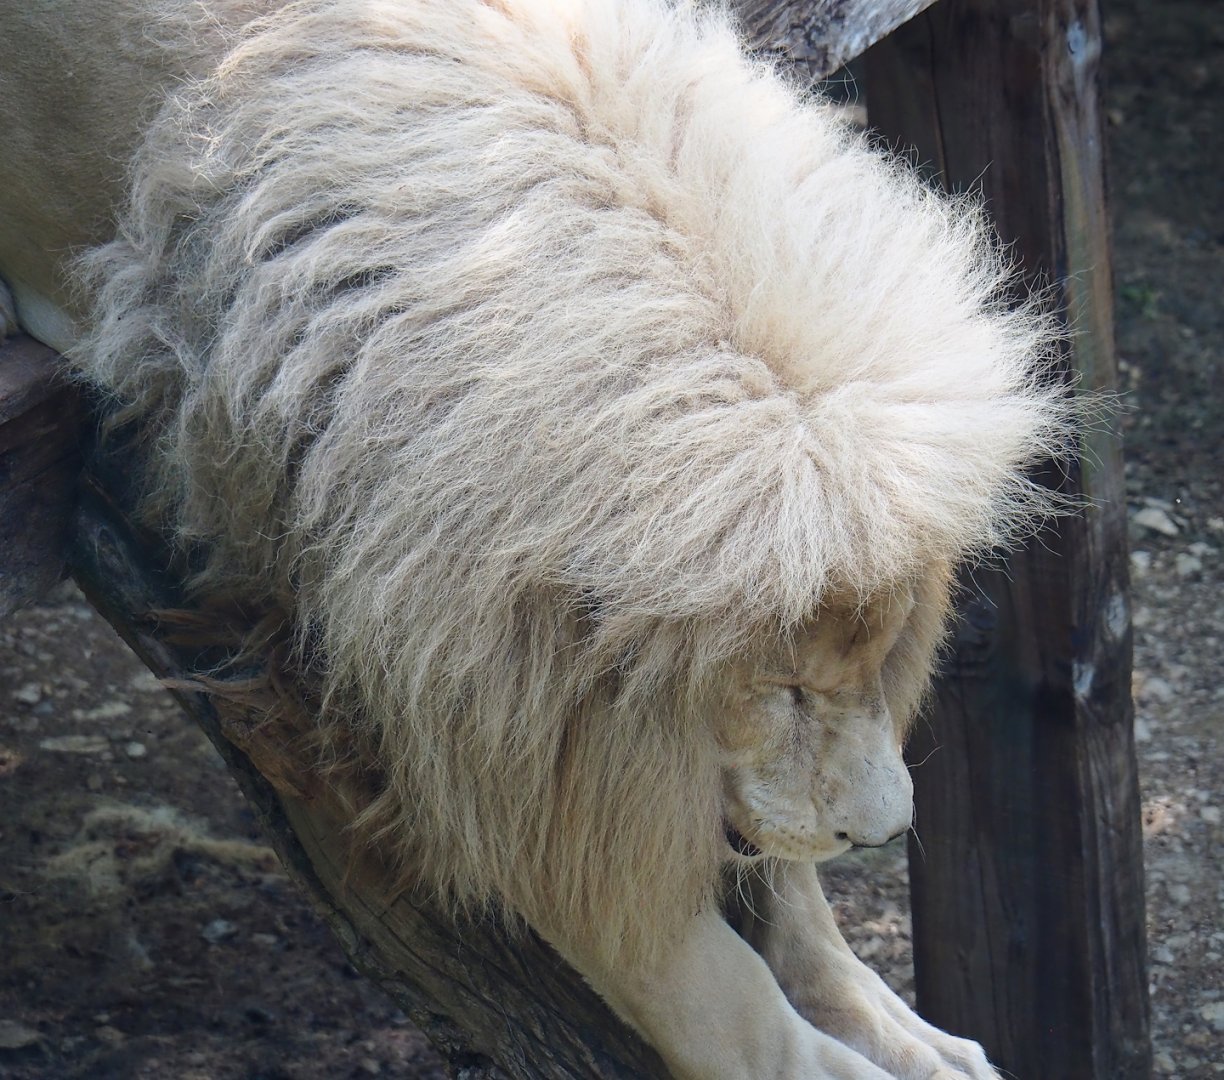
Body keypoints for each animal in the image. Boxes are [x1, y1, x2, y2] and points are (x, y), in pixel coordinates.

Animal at [0, 1, 1072, 1076]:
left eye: (877, 664)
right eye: (783, 688)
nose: (881, 836)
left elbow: (785, 890)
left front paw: (903, 1030)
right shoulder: (490, 740)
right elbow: (717, 991)